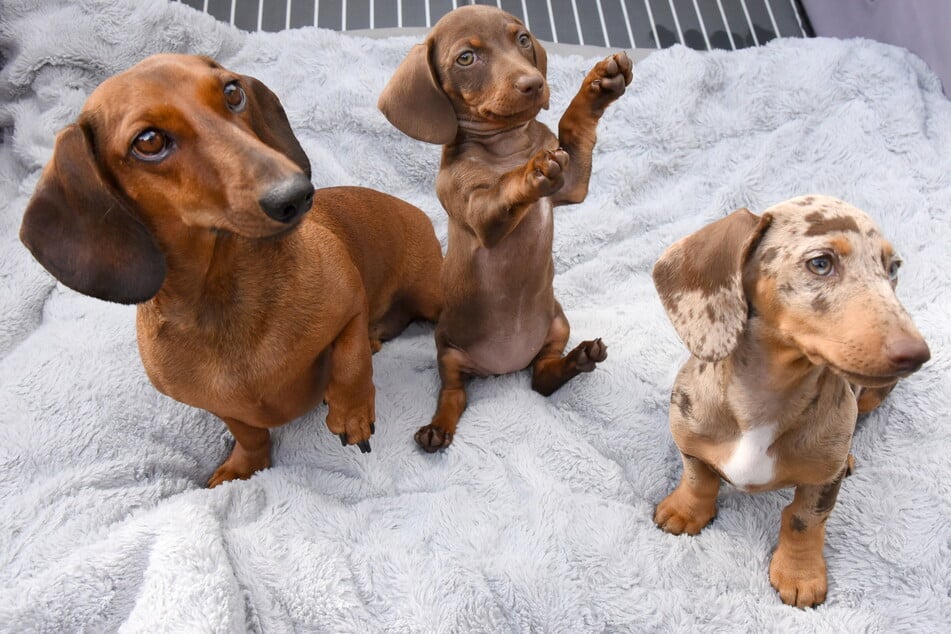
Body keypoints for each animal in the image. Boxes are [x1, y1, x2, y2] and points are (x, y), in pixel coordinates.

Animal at [18, 55, 442, 488]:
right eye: (148, 141)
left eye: (232, 92)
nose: (296, 195)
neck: (223, 299)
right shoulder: (221, 407)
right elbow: (250, 435)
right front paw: (244, 467)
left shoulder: (351, 301)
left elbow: (351, 362)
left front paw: (351, 412)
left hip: (430, 292)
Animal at [378, 3, 632, 450]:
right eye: (466, 58)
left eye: (523, 39)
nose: (534, 84)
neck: (506, 146)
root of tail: (503, 367)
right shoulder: (479, 216)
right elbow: (500, 194)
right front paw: (530, 172)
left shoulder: (572, 183)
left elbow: (573, 127)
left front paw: (598, 87)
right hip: (448, 350)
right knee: (454, 395)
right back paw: (437, 428)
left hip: (557, 324)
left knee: (541, 380)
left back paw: (576, 360)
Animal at [656, 195, 928, 604]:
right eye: (821, 263)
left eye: (892, 268)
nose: (918, 354)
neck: (765, 398)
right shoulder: (688, 437)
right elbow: (698, 479)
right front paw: (685, 511)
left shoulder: (822, 485)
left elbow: (804, 519)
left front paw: (800, 574)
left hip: (872, 398)